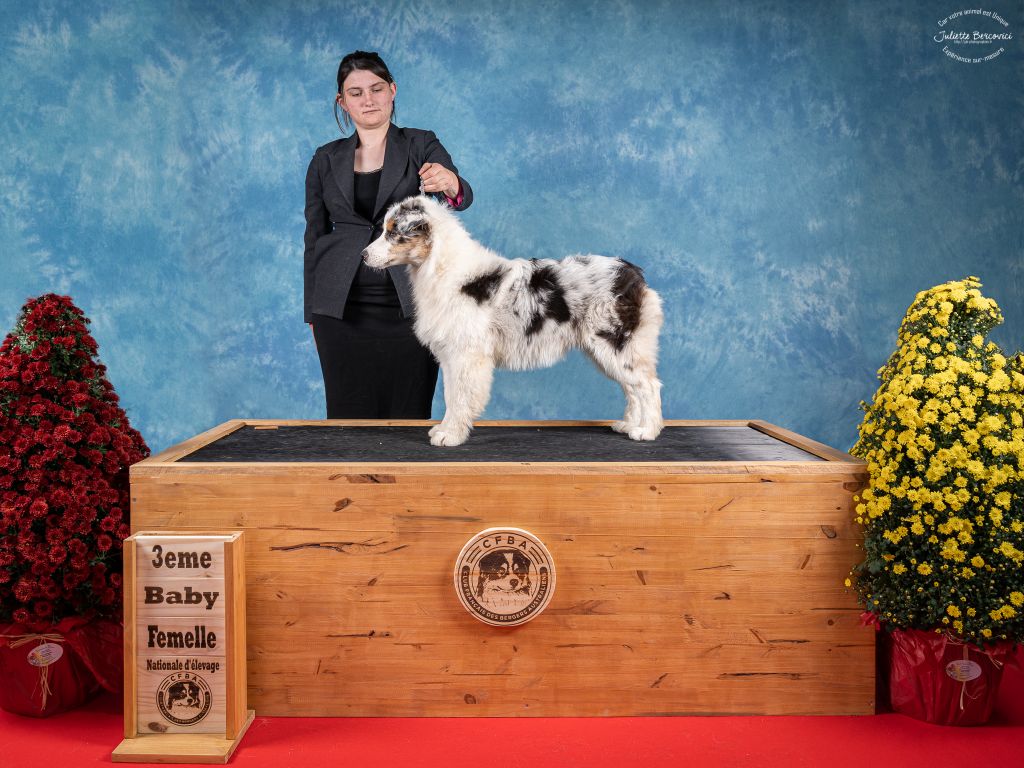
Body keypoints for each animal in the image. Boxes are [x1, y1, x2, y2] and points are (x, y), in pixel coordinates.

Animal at [362, 195, 664, 447]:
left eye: (393, 232)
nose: (363, 255)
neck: (439, 267)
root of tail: (633, 274)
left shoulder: (466, 354)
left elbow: (459, 396)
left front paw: (451, 435)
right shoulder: (450, 354)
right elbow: (451, 395)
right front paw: (445, 429)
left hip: (615, 343)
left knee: (648, 386)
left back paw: (646, 431)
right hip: (609, 349)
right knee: (632, 387)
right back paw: (629, 425)